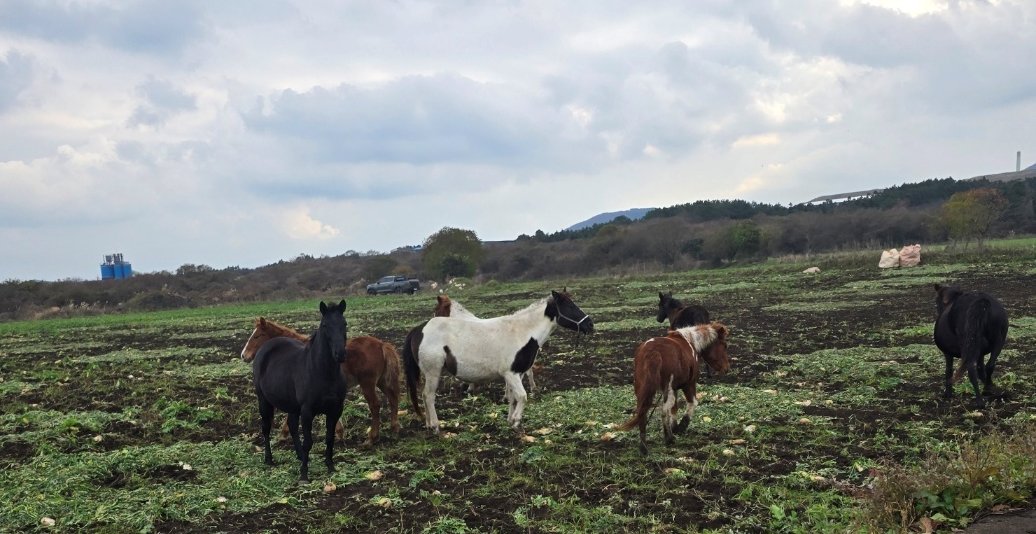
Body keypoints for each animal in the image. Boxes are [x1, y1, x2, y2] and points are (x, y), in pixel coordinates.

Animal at [240, 315, 401, 445]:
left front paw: (283, 435)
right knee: (393, 398)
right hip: (380, 381)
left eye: (257, 336)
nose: (243, 355)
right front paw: (339, 433)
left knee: (375, 405)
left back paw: (372, 438)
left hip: (367, 383)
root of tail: (381, 344)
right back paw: (394, 428)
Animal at [252, 300, 350, 485]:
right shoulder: (307, 411)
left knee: (291, 426)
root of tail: (265, 348)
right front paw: (304, 475)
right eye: (325, 325)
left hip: (292, 405)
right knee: (266, 428)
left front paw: (330, 466)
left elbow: (329, 438)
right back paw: (269, 459)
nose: (340, 354)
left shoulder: (335, 410)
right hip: (264, 402)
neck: (322, 372)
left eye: (344, 324)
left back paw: (299, 456)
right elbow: (308, 442)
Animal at [401, 292, 596, 435]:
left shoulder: (515, 374)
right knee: (428, 396)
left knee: (424, 396)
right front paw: (516, 422)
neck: (522, 332)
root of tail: (419, 329)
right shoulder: (511, 374)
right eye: (569, 306)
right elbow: (522, 396)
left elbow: (513, 397)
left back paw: (428, 424)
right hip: (433, 372)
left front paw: (510, 420)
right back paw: (435, 426)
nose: (590, 325)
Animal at [617, 321, 733, 456]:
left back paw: (644, 447)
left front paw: (675, 426)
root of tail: (652, 351)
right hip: (668, 389)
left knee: (643, 412)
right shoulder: (688, 384)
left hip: (642, 389)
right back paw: (669, 438)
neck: (690, 341)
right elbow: (692, 403)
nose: (727, 368)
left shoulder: (675, 388)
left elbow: (674, 409)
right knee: (663, 410)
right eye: (725, 345)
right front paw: (681, 427)